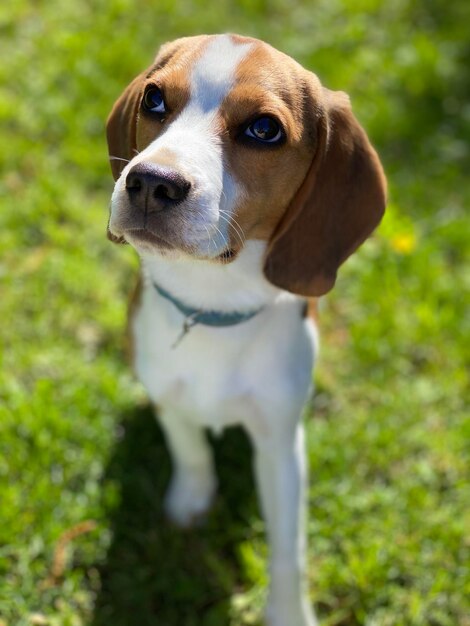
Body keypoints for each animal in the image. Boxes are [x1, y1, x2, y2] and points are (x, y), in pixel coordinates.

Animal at [106, 34, 386, 624]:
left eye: (264, 129)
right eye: (154, 99)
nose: (151, 182)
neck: (211, 305)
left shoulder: (280, 443)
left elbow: (288, 548)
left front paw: (288, 613)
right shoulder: (165, 392)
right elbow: (189, 446)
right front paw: (190, 501)